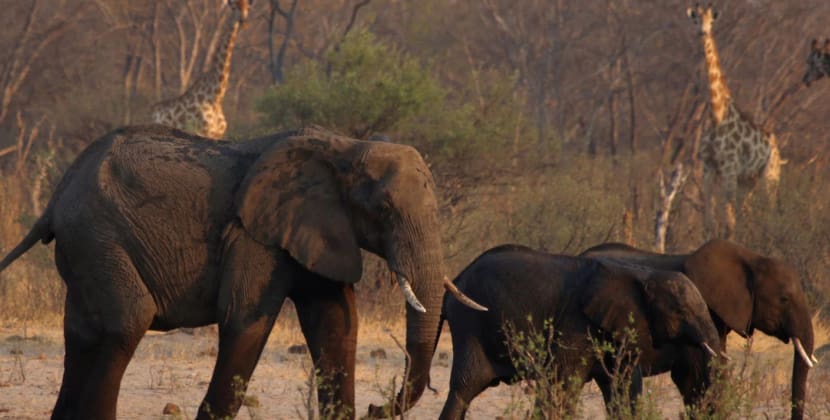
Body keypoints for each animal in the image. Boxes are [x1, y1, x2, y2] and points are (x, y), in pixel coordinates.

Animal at [0, 125, 484, 420]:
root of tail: (56, 197)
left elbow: (336, 324)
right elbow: (246, 322)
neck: (345, 146)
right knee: (126, 322)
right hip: (98, 235)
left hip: (86, 247)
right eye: (383, 209)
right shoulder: (256, 236)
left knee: (83, 332)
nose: (376, 408)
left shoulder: (317, 229)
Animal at [151, 0, 250, 139]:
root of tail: (153, 111)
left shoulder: (217, 135)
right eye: (234, 7)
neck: (215, 98)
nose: (243, 21)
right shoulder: (202, 132)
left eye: (248, 7)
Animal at [438, 244, 724, 418]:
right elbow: (565, 383)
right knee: (465, 386)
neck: (643, 275)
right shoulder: (576, 324)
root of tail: (456, 277)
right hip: (470, 324)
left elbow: (621, 385)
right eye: (681, 311)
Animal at [684, 4, 784, 240]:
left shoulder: (729, 167)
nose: (703, 32)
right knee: (746, 212)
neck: (716, 114)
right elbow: (710, 222)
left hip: (770, 176)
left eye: (711, 21)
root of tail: (777, 147)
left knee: (767, 214)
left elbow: (729, 223)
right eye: (695, 20)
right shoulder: (708, 166)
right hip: (748, 181)